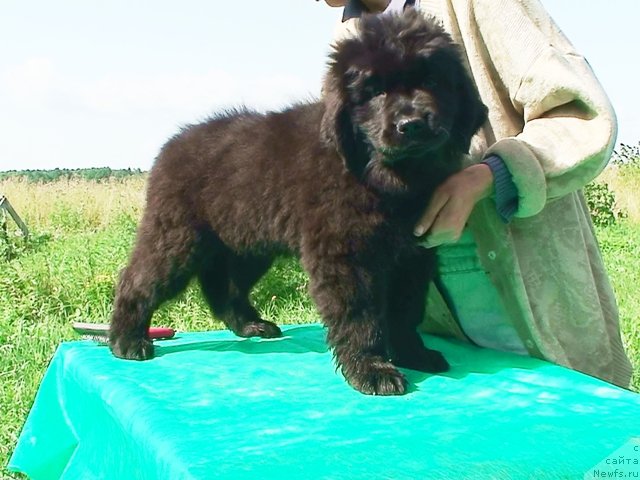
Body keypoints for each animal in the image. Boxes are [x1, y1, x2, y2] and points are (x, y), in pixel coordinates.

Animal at [111, 9, 490, 396]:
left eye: (432, 80)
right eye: (374, 91)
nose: (410, 124)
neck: (384, 174)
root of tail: (170, 145)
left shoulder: (413, 255)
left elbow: (405, 309)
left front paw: (413, 353)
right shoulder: (345, 254)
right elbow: (360, 315)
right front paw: (371, 369)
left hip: (247, 244)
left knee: (225, 287)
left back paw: (250, 326)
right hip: (177, 237)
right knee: (137, 279)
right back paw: (127, 341)